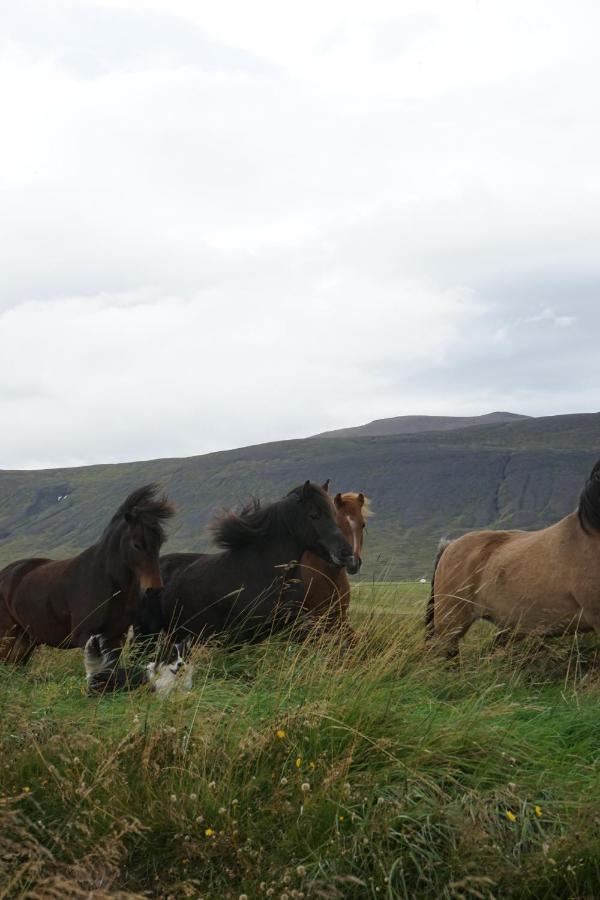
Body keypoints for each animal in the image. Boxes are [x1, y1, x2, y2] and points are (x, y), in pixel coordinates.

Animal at [0, 486, 173, 668]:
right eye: (137, 544)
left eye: (160, 542)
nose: (154, 589)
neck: (108, 582)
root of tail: (5, 573)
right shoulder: (86, 636)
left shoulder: (116, 636)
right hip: (7, 636)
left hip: (26, 639)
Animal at [135, 478, 356, 648]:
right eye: (314, 515)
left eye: (334, 515)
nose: (347, 555)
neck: (263, 570)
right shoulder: (239, 637)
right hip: (147, 636)